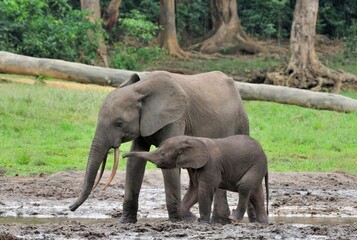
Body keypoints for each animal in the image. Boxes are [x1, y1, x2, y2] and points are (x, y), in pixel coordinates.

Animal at [69, 71, 248, 223]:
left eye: (119, 123)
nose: (70, 208)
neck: (141, 89)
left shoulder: (176, 119)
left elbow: (170, 162)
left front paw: (176, 221)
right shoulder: (143, 123)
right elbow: (135, 163)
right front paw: (125, 221)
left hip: (240, 124)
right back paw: (201, 218)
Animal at [122, 135, 268, 223]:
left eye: (162, 153)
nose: (123, 155)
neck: (189, 139)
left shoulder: (211, 165)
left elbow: (204, 190)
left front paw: (202, 222)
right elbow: (194, 191)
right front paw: (191, 219)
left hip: (257, 164)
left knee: (244, 186)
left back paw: (233, 219)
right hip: (257, 166)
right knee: (256, 193)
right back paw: (263, 223)